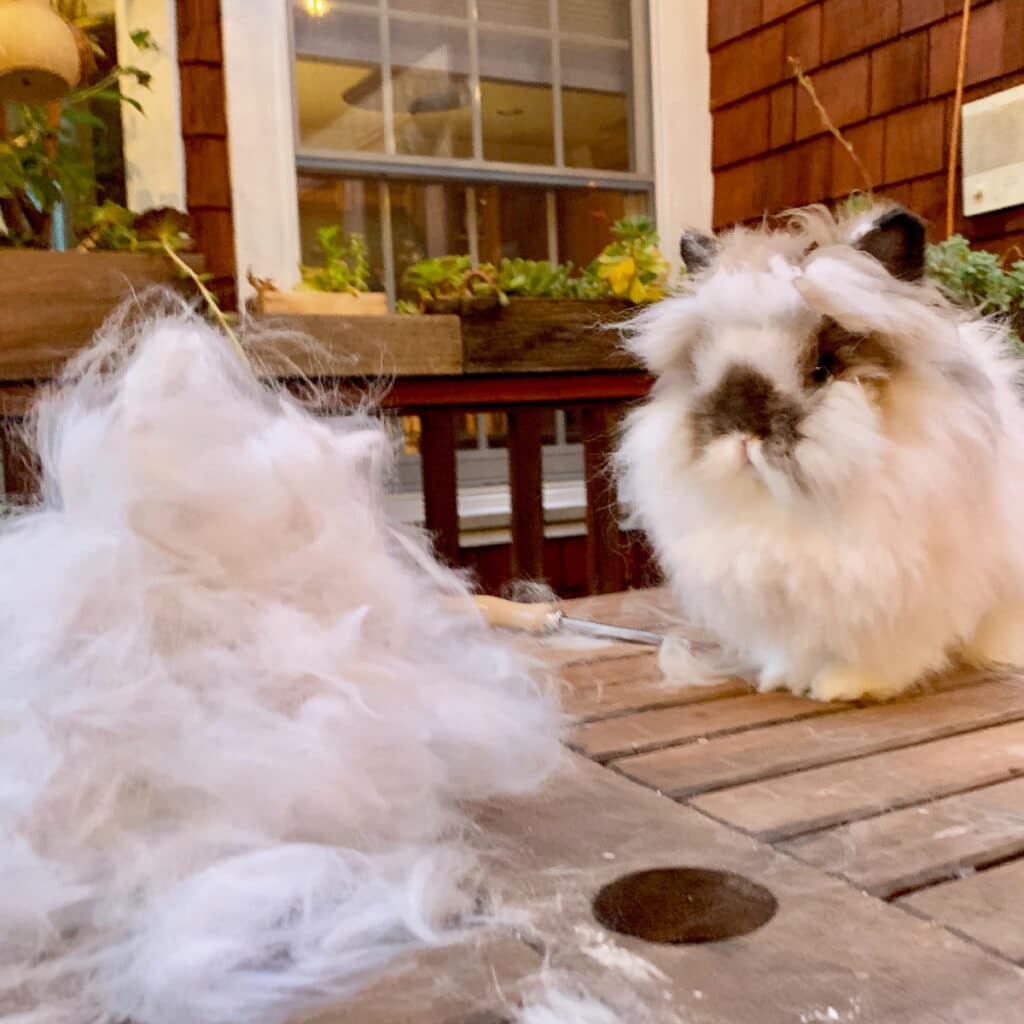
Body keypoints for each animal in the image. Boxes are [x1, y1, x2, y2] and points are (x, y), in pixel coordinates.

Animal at [615, 203, 1024, 702]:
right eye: (699, 367)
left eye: (823, 368)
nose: (743, 429)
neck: (793, 508)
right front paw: (784, 677)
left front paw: (845, 686)